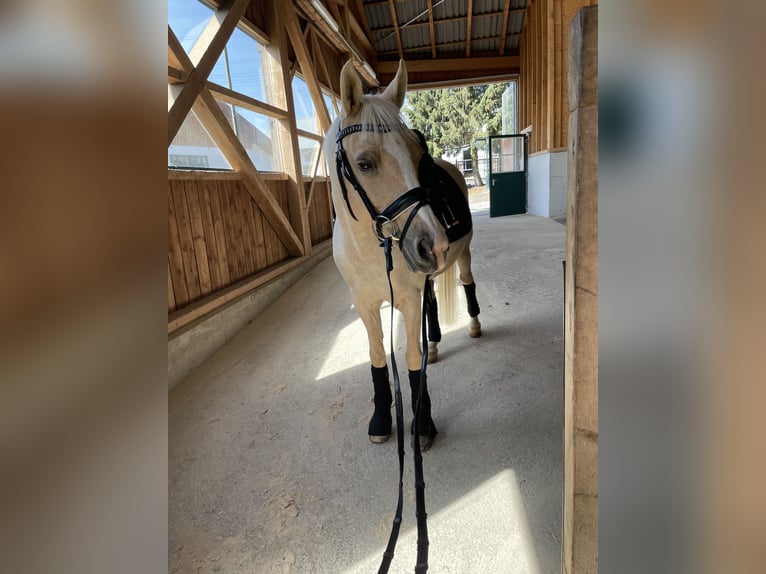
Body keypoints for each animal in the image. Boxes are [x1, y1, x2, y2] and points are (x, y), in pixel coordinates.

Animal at [326, 59, 484, 454]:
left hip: (463, 255)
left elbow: (413, 360)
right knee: (433, 303)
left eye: (416, 154)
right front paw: (381, 420)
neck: (371, 250)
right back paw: (436, 343)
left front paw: (423, 424)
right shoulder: (365, 304)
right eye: (364, 163)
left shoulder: (408, 300)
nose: (435, 244)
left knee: (467, 284)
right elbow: (378, 358)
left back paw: (474, 326)